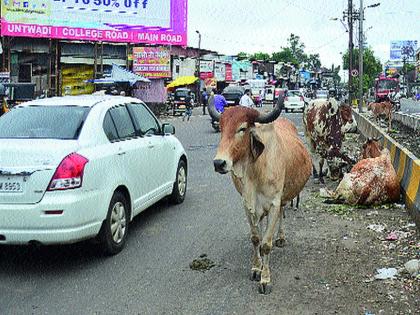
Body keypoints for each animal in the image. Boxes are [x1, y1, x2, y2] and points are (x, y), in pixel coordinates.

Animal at [208, 96, 312, 296]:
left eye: (242, 128)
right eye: (222, 128)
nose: (219, 163)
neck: (255, 171)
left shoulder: (273, 203)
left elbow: (266, 245)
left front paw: (265, 279)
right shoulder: (247, 204)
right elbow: (256, 239)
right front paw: (256, 269)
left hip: (283, 198)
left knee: (282, 214)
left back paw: (281, 237)